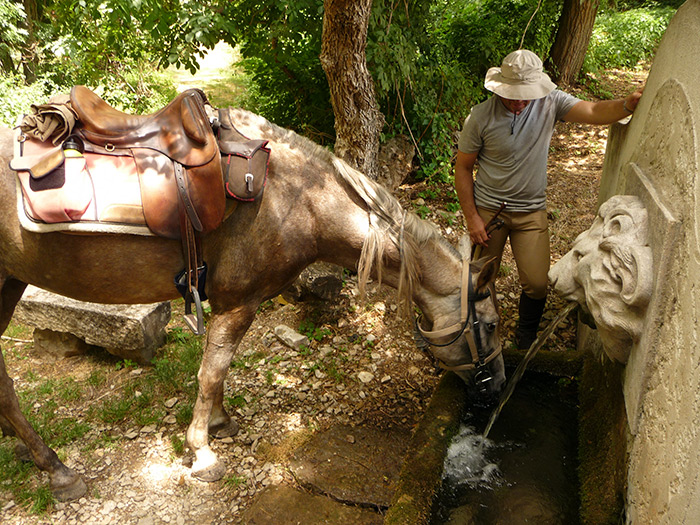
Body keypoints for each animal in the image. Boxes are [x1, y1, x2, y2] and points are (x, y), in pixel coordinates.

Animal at [0, 107, 506, 500]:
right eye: (491, 325)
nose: (498, 386)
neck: (300, 201)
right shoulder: (240, 302)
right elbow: (212, 371)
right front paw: (203, 452)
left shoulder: (233, 303)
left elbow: (217, 369)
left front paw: (220, 423)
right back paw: (58, 470)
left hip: (10, 286)